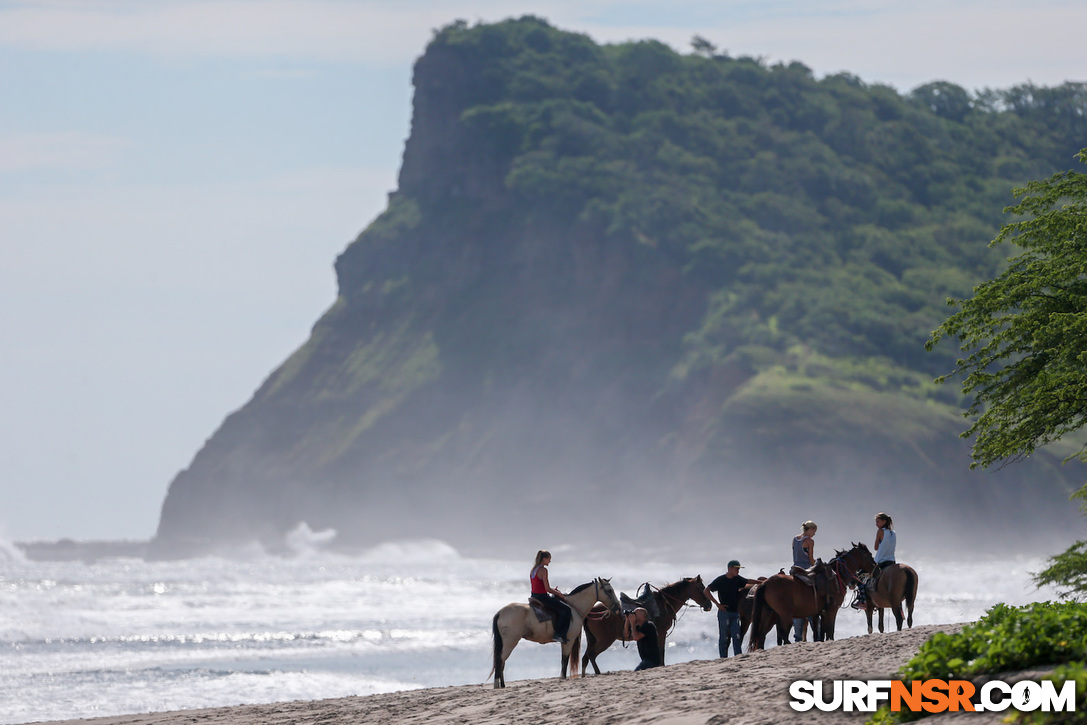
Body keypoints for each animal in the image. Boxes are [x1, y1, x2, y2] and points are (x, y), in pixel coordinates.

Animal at [493, 573, 621, 691]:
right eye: (609, 590)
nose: (618, 608)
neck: (573, 609)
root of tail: (500, 612)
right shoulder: (568, 641)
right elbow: (564, 661)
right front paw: (563, 678)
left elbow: (564, 661)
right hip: (510, 642)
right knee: (500, 661)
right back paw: (497, 686)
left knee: (501, 662)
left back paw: (502, 685)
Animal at [578, 573, 713, 678]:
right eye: (701, 587)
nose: (709, 605)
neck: (663, 603)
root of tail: (590, 612)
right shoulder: (661, 633)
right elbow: (661, 652)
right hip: (605, 640)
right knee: (591, 655)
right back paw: (598, 673)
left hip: (593, 639)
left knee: (585, 658)